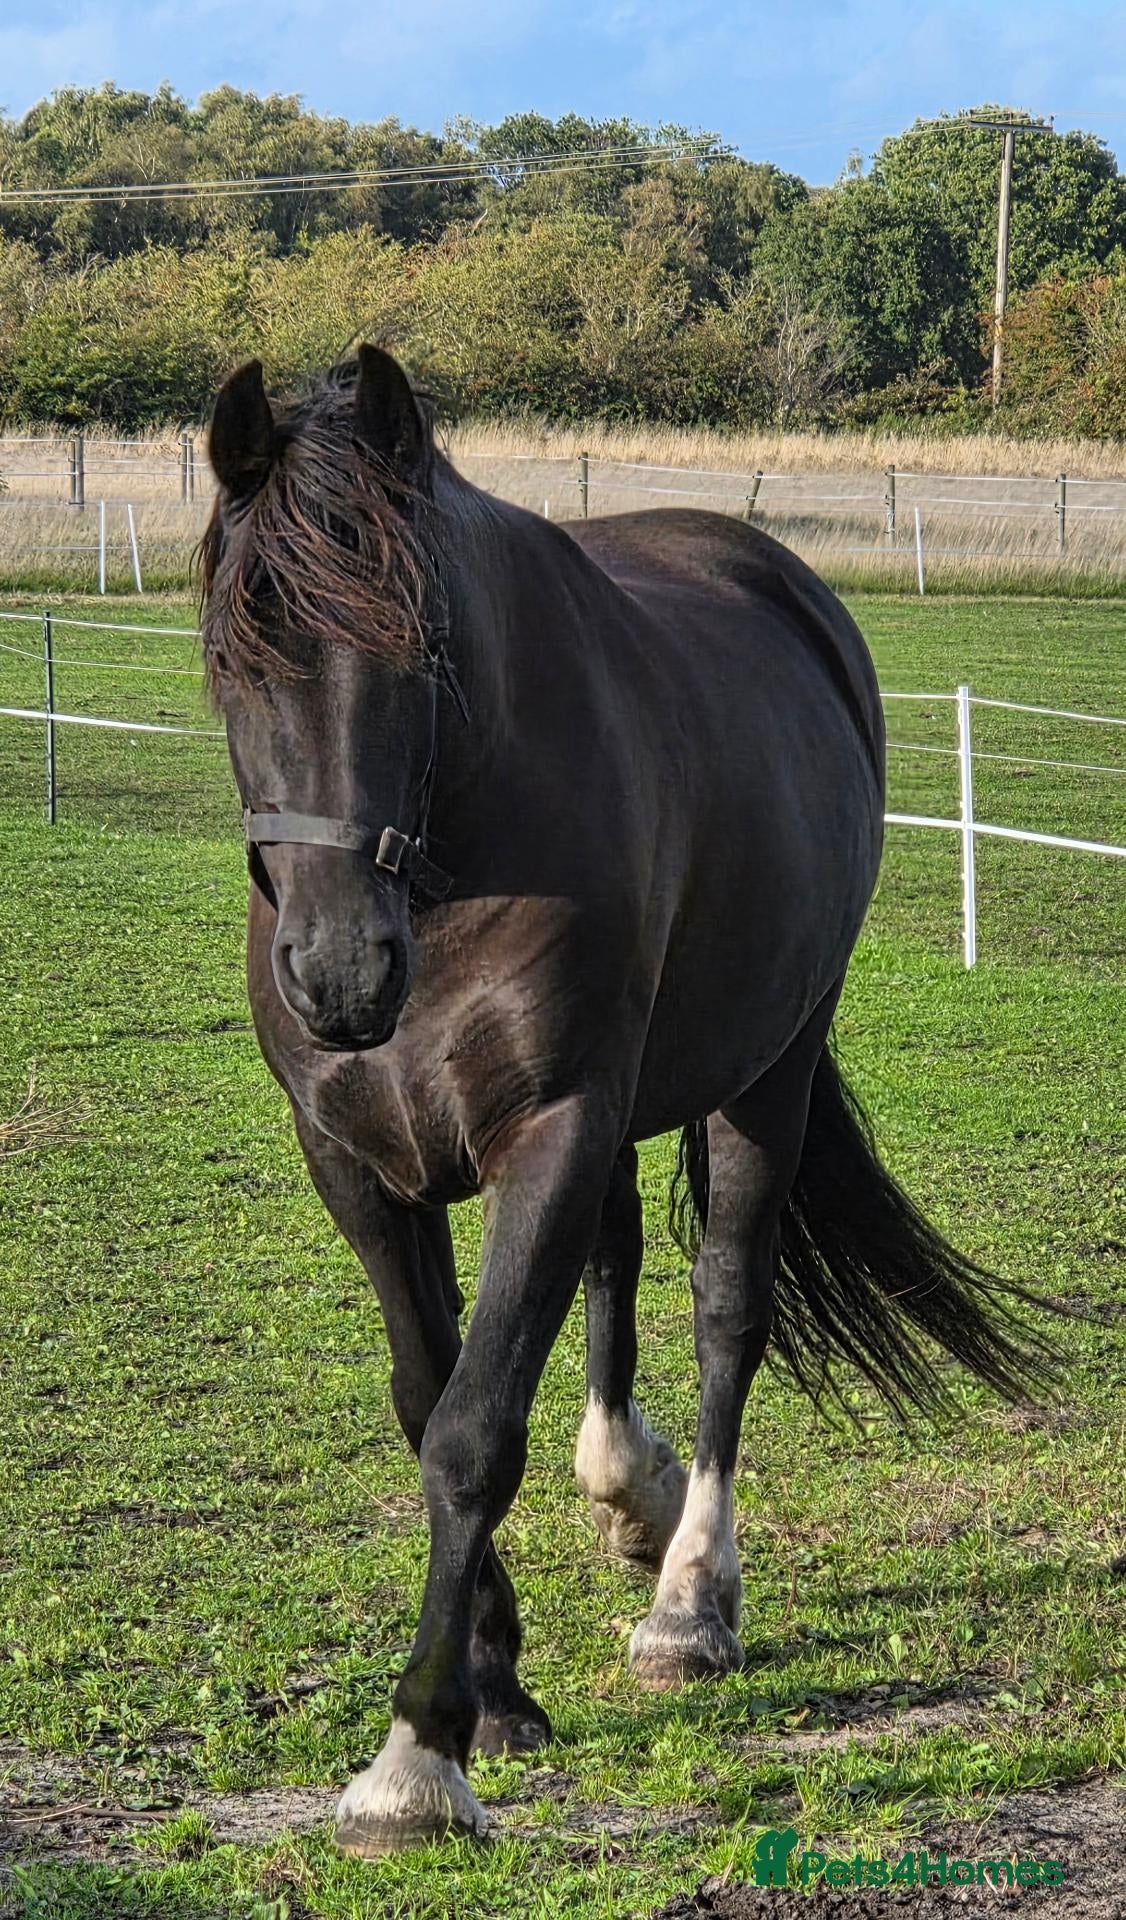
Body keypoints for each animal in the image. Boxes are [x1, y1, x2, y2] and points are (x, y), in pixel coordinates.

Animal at [199, 345, 1045, 1856]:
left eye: (423, 649)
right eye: (236, 656)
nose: (341, 973)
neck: (452, 870)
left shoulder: (552, 1129)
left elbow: (474, 1431)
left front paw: (419, 1756)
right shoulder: (357, 1162)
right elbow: (428, 1398)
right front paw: (495, 1686)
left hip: (763, 1076)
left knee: (723, 1309)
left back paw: (687, 1598)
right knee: (617, 1269)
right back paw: (629, 1498)